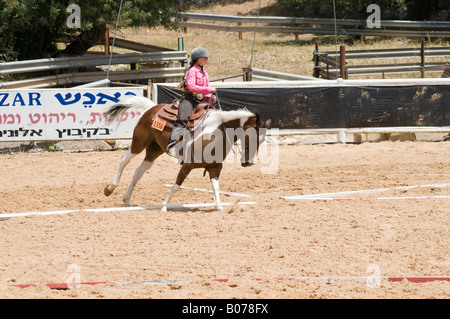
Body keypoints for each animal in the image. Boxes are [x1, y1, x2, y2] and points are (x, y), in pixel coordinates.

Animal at [103, 96, 270, 211]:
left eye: (262, 140)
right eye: (252, 136)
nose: (248, 163)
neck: (214, 133)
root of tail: (152, 108)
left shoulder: (215, 167)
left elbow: (216, 187)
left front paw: (219, 207)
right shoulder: (187, 165)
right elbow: (176, 185)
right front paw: (164, 206)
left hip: (154, 151)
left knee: (138, 172)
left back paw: (127, 199)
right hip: (139, 142)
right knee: (124, 159)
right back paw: (110, 188)